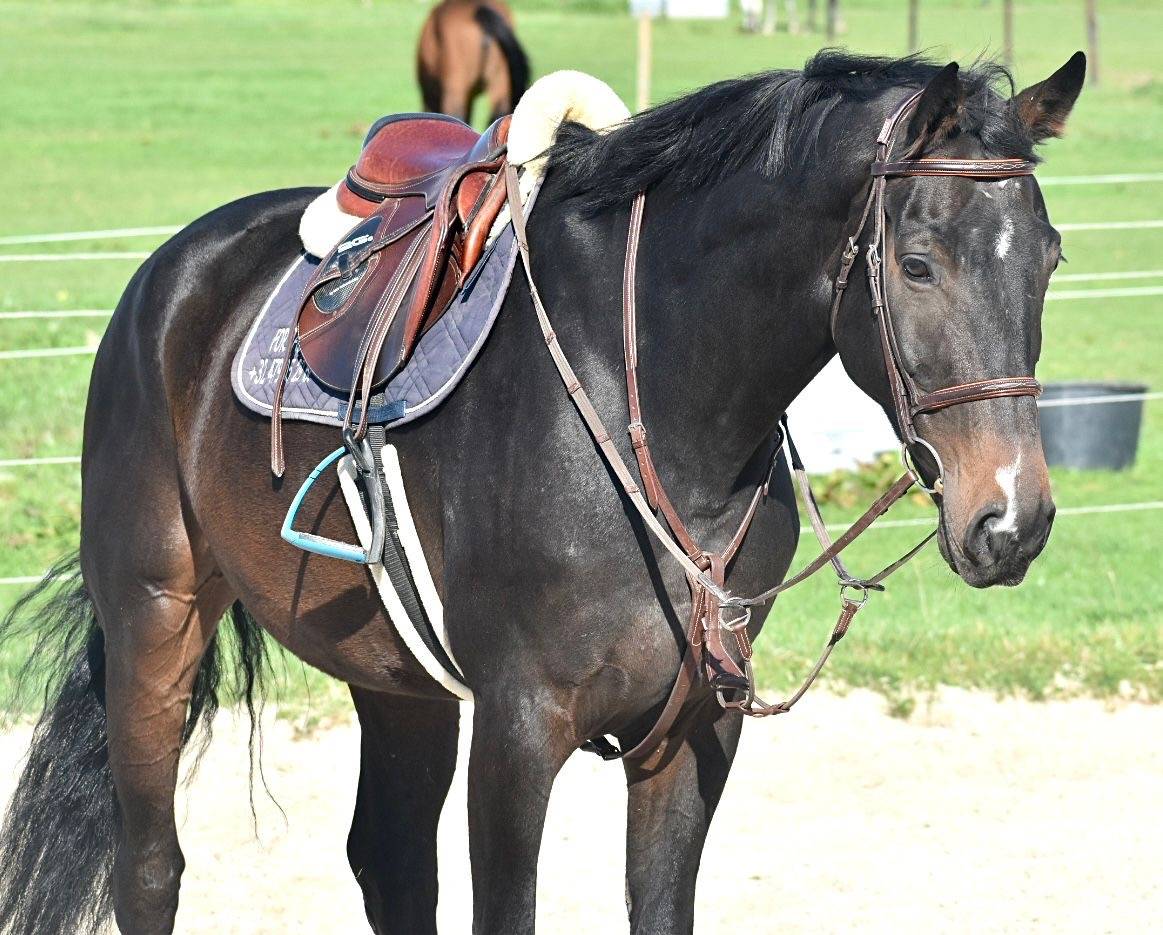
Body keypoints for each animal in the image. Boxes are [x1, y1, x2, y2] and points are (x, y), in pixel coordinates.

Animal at [0, 49, 1084, 935]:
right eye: (917, 264)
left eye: (1048, 257)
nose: (1011, 518)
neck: (650, 395)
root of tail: (172, 272)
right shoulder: (518, 728)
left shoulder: (693, 724)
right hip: (155, 621)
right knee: (151, 869)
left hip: (397, 681)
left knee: (390, 864)